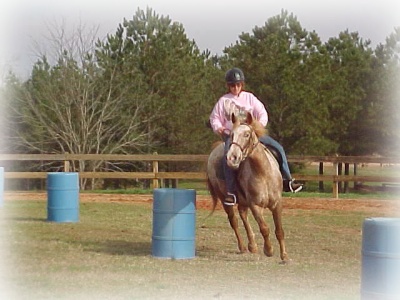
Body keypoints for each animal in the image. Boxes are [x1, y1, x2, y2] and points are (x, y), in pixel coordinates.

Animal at [206, 112, 288, 262]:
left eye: (247, 134)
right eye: (232, 134)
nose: (232, 158)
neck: (263, 173)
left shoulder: (277, 203)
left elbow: (279, 230)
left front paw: (284, 255)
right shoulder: (255, 205)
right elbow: (264, 228)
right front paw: (269, 250)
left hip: (243, 202)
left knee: (243, 215)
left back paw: (252, 245)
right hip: (225, 200)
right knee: (234, 221)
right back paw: (244, 247)